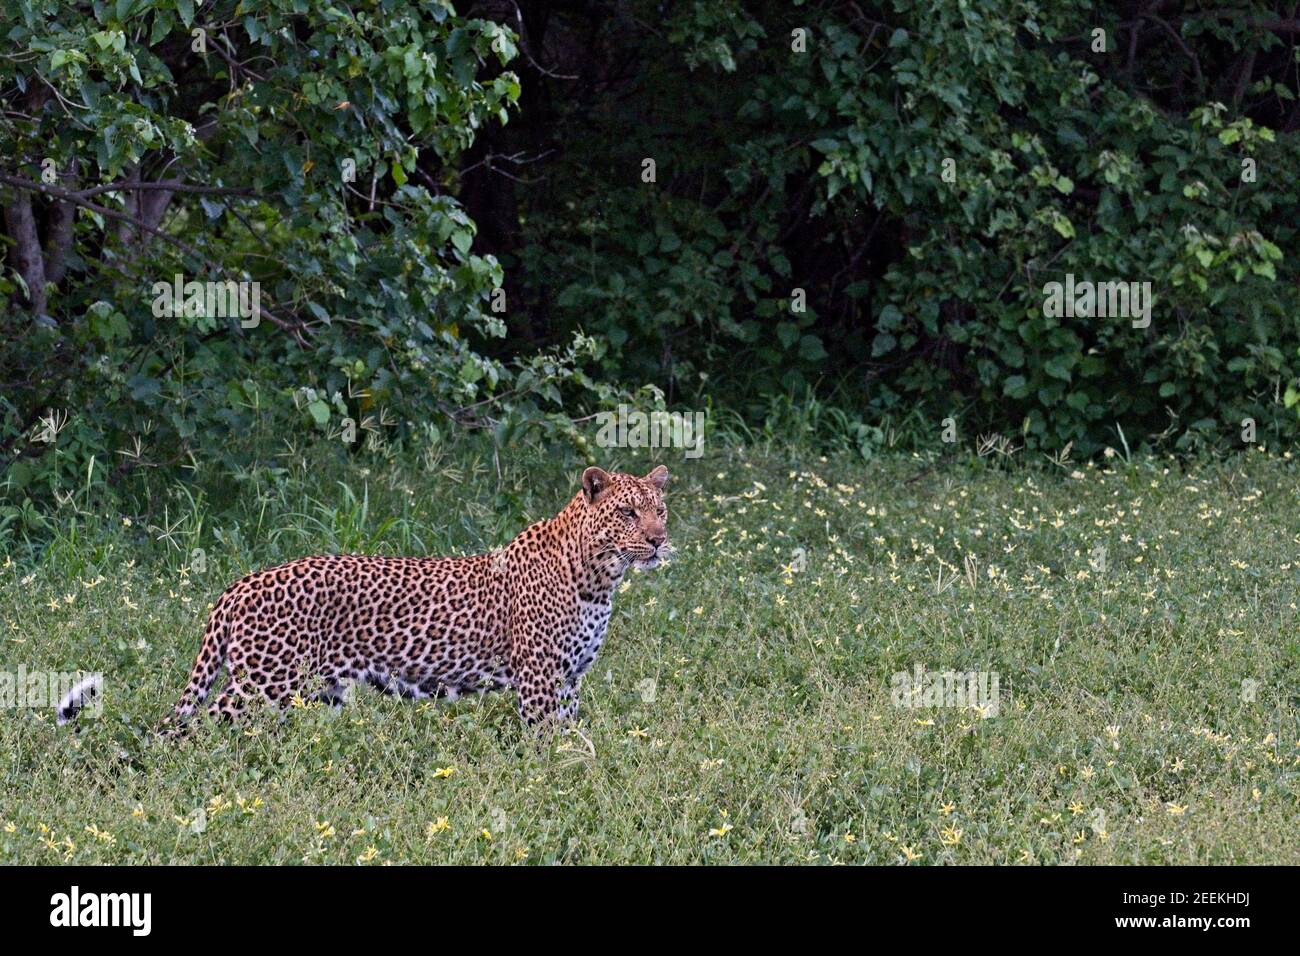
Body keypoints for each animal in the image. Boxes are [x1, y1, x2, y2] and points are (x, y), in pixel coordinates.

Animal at [57, 465, 671, 732]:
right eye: (627, 512)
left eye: (660, 509)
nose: (660, 540)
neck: (599, 578)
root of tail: (238, 585)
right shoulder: (541, 679)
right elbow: (549, 740)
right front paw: (559, 779)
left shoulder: (569, 681)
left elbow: (573, 733)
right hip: (262, 684)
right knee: (200, 730)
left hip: (313, 691)